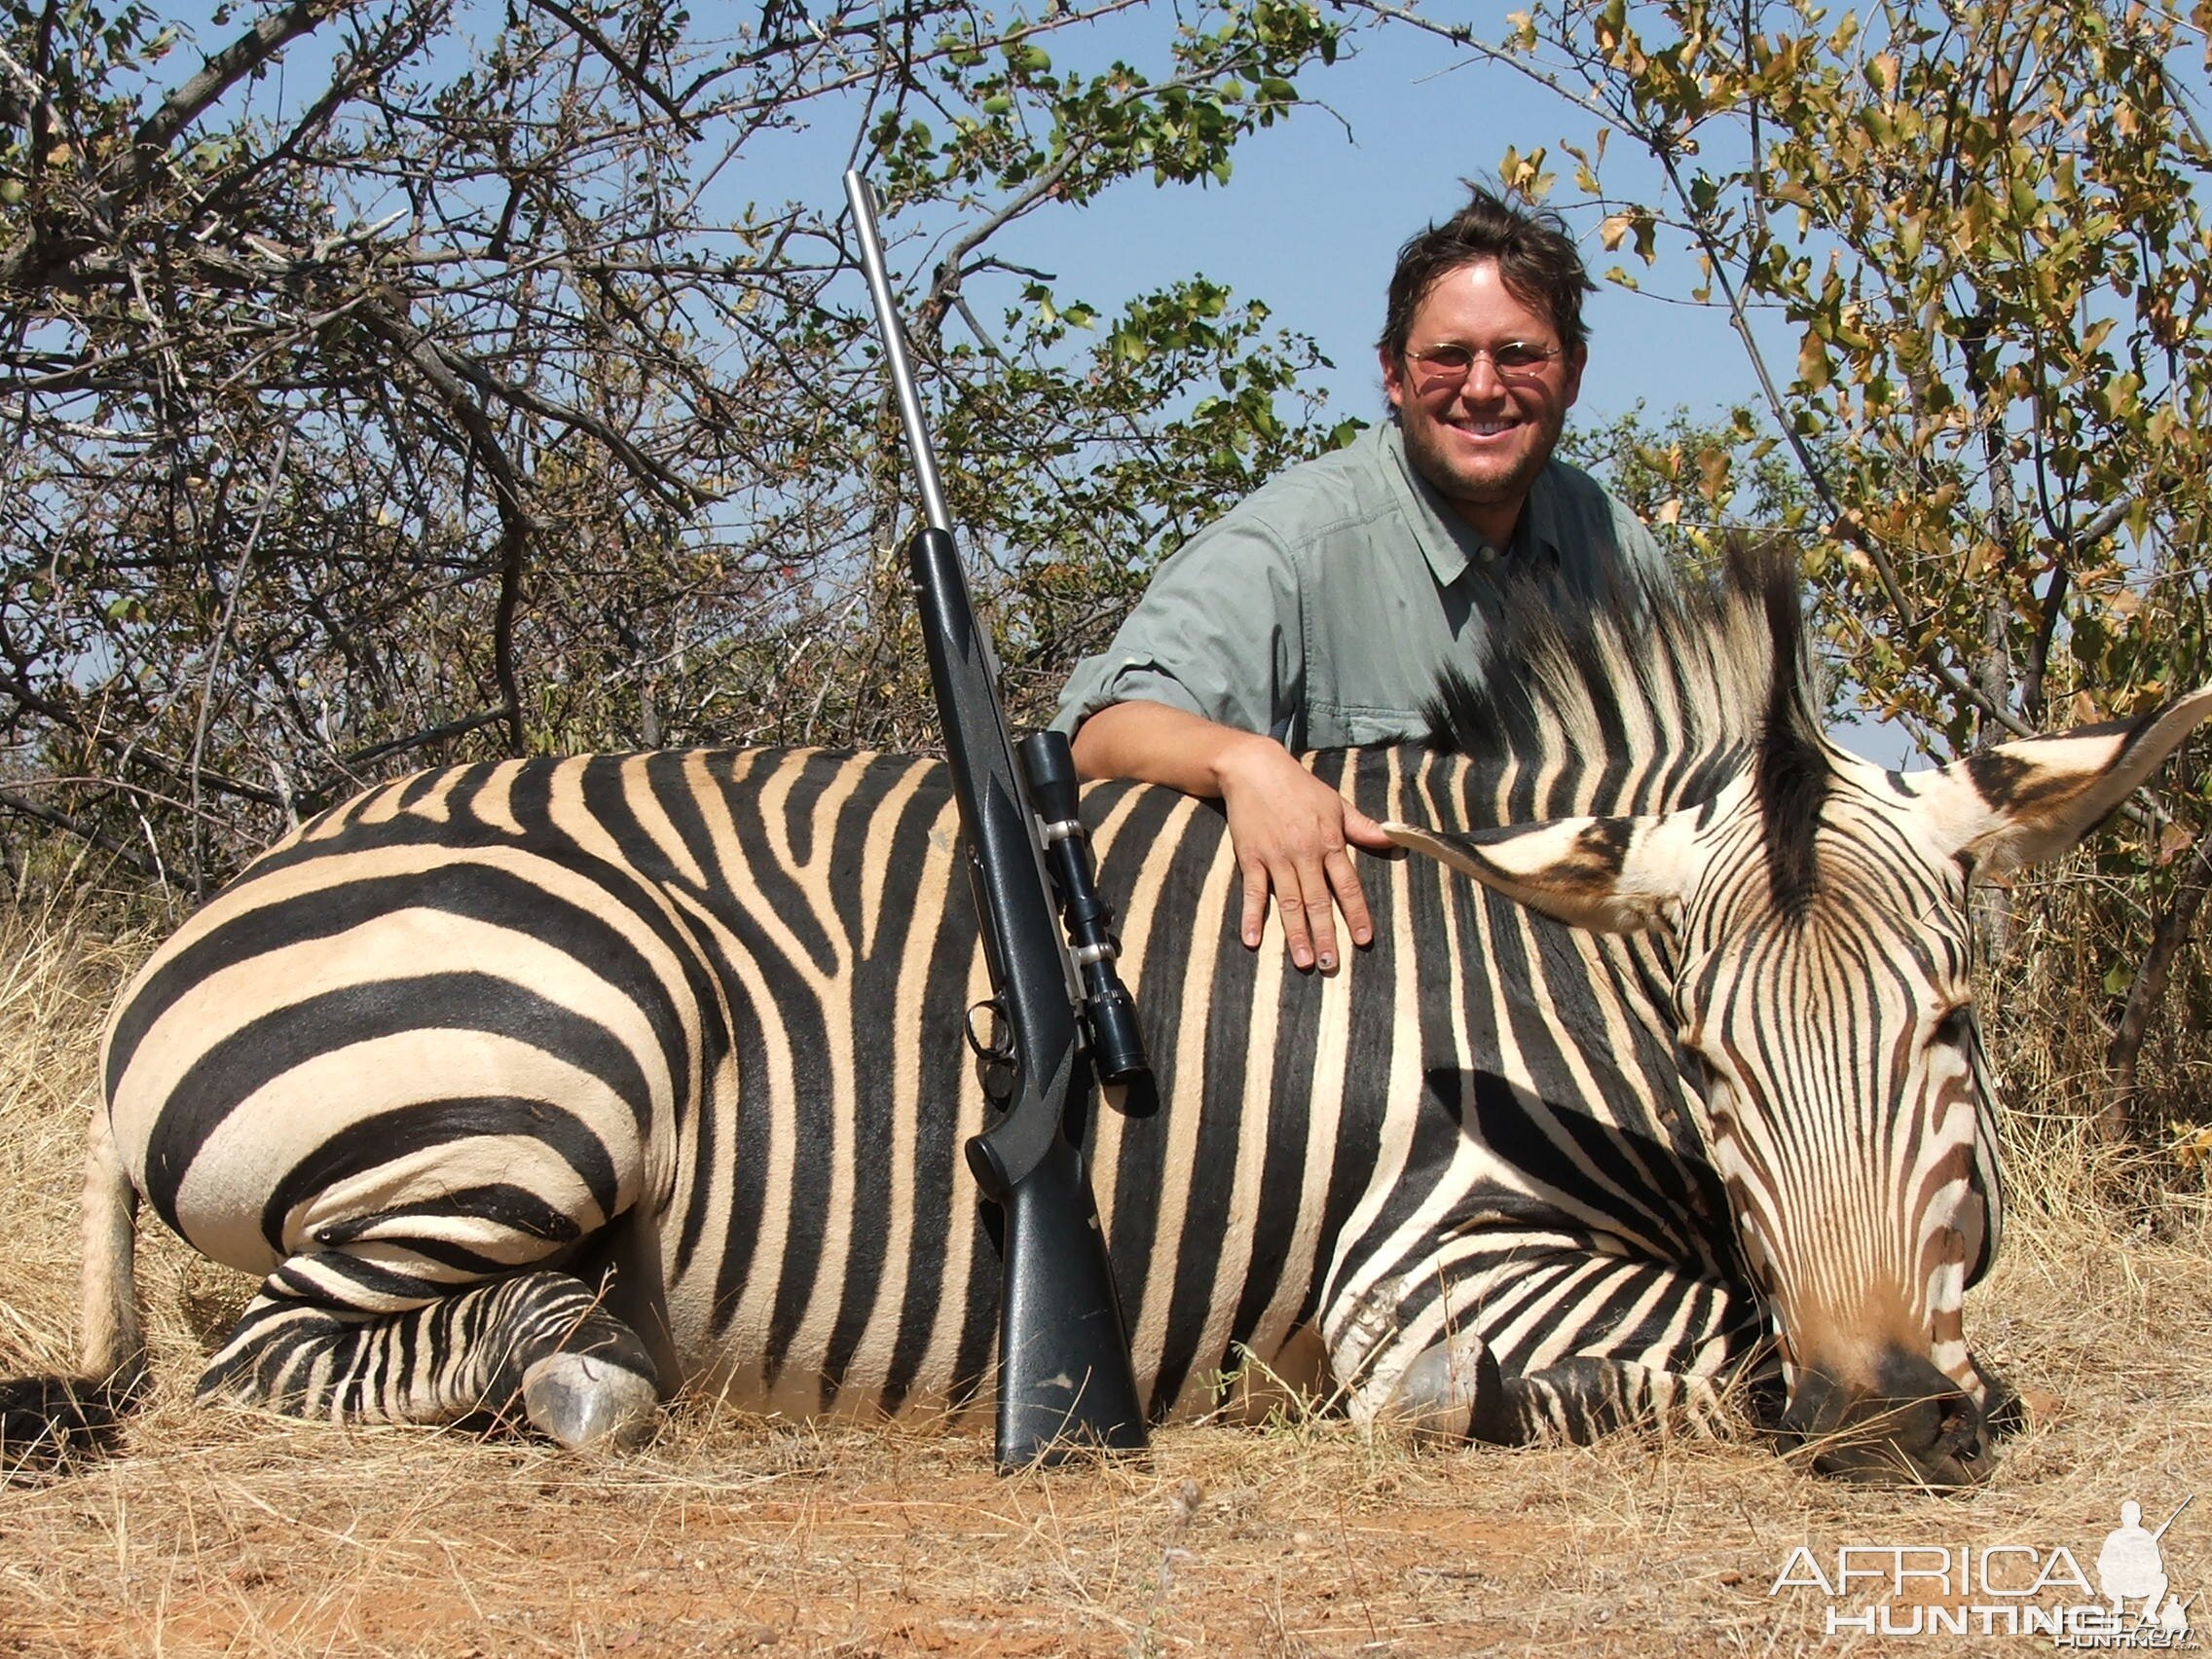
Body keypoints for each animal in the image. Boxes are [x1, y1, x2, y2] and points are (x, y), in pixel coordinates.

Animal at [4, 553, 2212, 1486]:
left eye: (1953, 1032)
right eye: (1710, 1057)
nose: (1882, 1417)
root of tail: (201, 924)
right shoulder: (1434, 1257)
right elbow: (1639, 1351)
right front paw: (1472, 1404)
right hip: (565, 1045)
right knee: (282, 1355)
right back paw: (580, 1370)